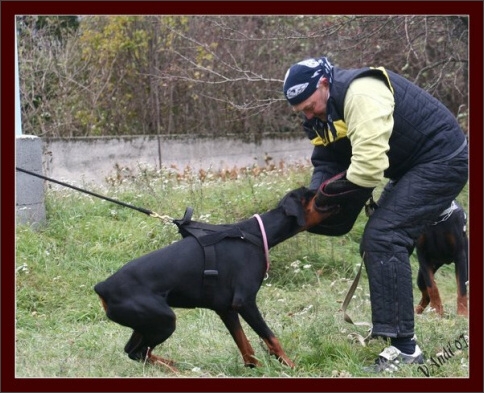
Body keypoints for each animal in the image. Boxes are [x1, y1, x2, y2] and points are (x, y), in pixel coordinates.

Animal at [94, 187, 336, 370]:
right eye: (312, 192)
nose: (331, 186)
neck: (255, 235)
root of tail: (102, 287)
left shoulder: (226, 309)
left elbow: (245, 347)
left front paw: (254, 369)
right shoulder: (244, 302)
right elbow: (271, 338)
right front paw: (292, 367)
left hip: (148, 322)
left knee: (133, 351)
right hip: (164, 321)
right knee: (139, 352)